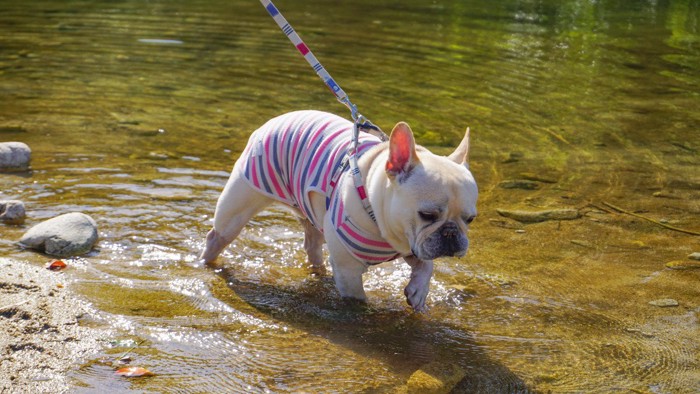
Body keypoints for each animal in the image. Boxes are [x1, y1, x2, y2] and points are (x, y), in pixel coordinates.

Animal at [200, 111, 478, 310]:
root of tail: (276, 119)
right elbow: (357, 299)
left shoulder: (409, 245)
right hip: (237, 207)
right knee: (216, 237)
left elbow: (426, 265)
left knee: (312, 244)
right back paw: (206, 263)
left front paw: (418, 291)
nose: (452, 234)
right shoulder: (349, 269)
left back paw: (318, 270)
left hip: (310, 214)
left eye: (470, 219)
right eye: (427, 215)